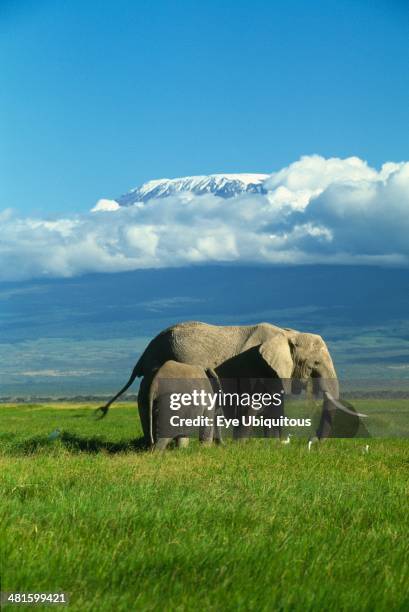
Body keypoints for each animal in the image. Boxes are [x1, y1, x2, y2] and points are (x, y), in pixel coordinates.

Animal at [97, 320, 356, 440]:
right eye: (316, 364)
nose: (312, 441)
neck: (288, 334)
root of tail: (147, 349)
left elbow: (275, 405)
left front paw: (274, 444)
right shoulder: (255, 364)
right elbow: (254, 403)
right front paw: (242, 446)